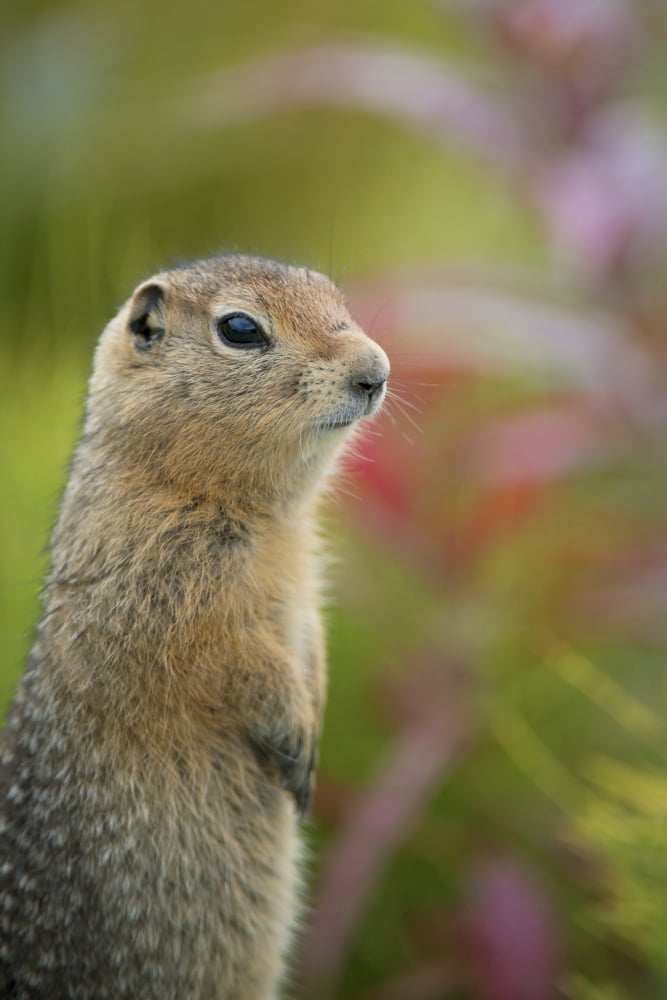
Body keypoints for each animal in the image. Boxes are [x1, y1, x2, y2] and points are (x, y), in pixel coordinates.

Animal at [0, 255, 389, 1000]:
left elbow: (307, 644)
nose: (376, 371)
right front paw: (296, 740)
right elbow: (225, 660)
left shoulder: (302, 590)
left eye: (335, 298)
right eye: (240, 328)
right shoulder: (165, 592)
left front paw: (312, 726)